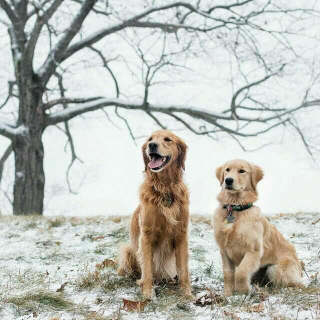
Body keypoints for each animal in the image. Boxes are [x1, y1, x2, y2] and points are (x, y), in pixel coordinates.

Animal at [118, 129, 191, 298]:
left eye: (168, 139)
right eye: (150, 139)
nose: (152, 145)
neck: (165, 189)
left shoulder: (181, 234)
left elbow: (183, 270)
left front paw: (187, 294)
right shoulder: (146, 236)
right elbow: (147, 270)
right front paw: (147, 294)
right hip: (127, 250)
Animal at [212, 159, 302, 296]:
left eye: (242, 171)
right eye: (227, 170)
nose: (228, 180)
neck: (235, 209)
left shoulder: (253, 250)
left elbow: (241, 272)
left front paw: (243, 292)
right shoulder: (224, 250)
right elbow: (228, 274)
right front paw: (228, 294)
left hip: (274, 269)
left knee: (294, 283)